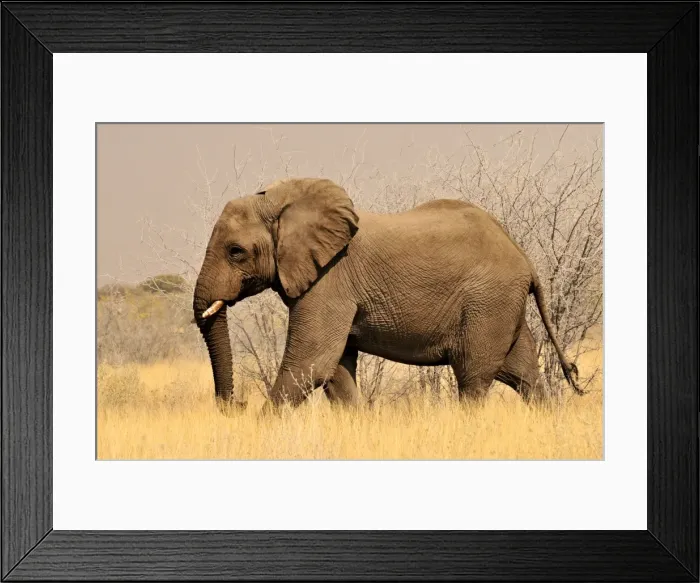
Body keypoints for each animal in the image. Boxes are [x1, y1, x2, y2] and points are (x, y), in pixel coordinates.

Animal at [192, 177, 583, 414]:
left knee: (474, 377)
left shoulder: (331, 278)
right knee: (523, 374)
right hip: (502, 304)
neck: (282, 202)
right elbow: (336, 371)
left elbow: (311, 363)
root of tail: (524, 257)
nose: (237, 405)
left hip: (488, 301)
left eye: (235, 252)